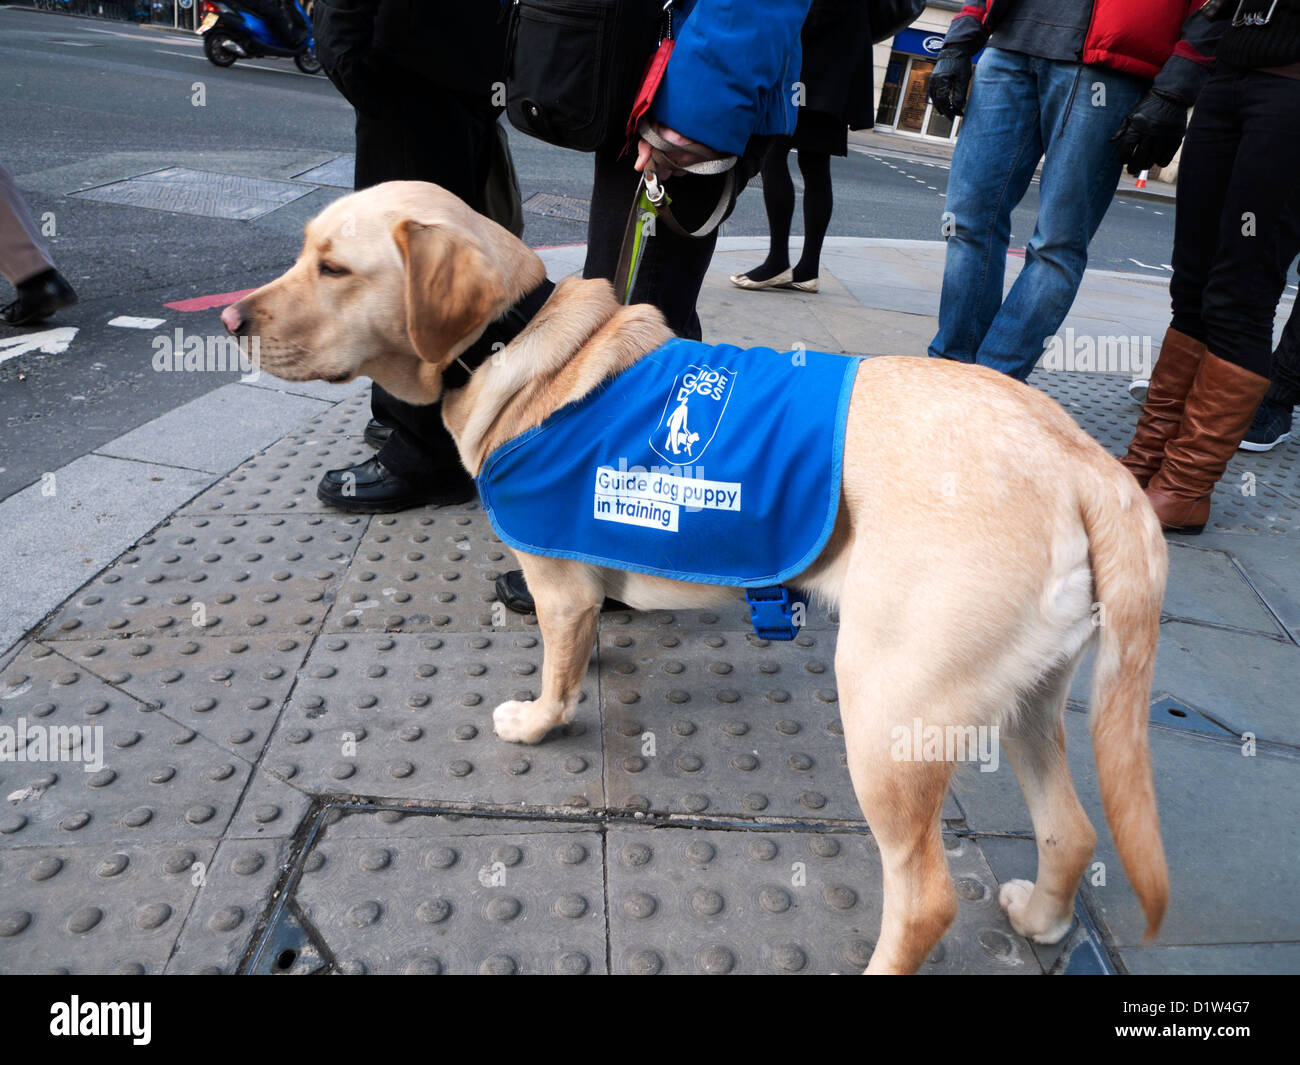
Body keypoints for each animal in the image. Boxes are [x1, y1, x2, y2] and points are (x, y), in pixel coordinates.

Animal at [223, 183, 1170, 972]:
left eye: (334, 267)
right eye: (304, 252)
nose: (229, 317)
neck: (513, 341)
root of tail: (1083, 461)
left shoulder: (557, 583)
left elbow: (555, 671)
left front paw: (537, 720)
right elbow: (580, 643)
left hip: (889, 706)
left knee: (927, 897)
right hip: (1029, 698)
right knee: (1072, 830)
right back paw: (1042, 915)